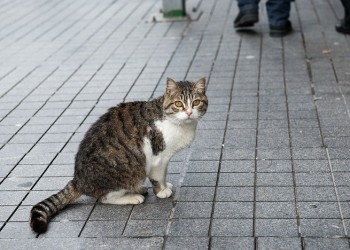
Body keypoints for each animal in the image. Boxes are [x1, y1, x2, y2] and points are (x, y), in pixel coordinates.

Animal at [29, 77, 208, 233]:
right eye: (178, 104)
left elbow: (163, 174)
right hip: (129, 171)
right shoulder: (158, 157)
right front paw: (162, 191)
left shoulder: (165, 158)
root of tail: (78, 180)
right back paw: (133, 197)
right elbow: (158, 177)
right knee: (104, 198)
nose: (189, 112)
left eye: (196, 102)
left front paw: (165, 186)